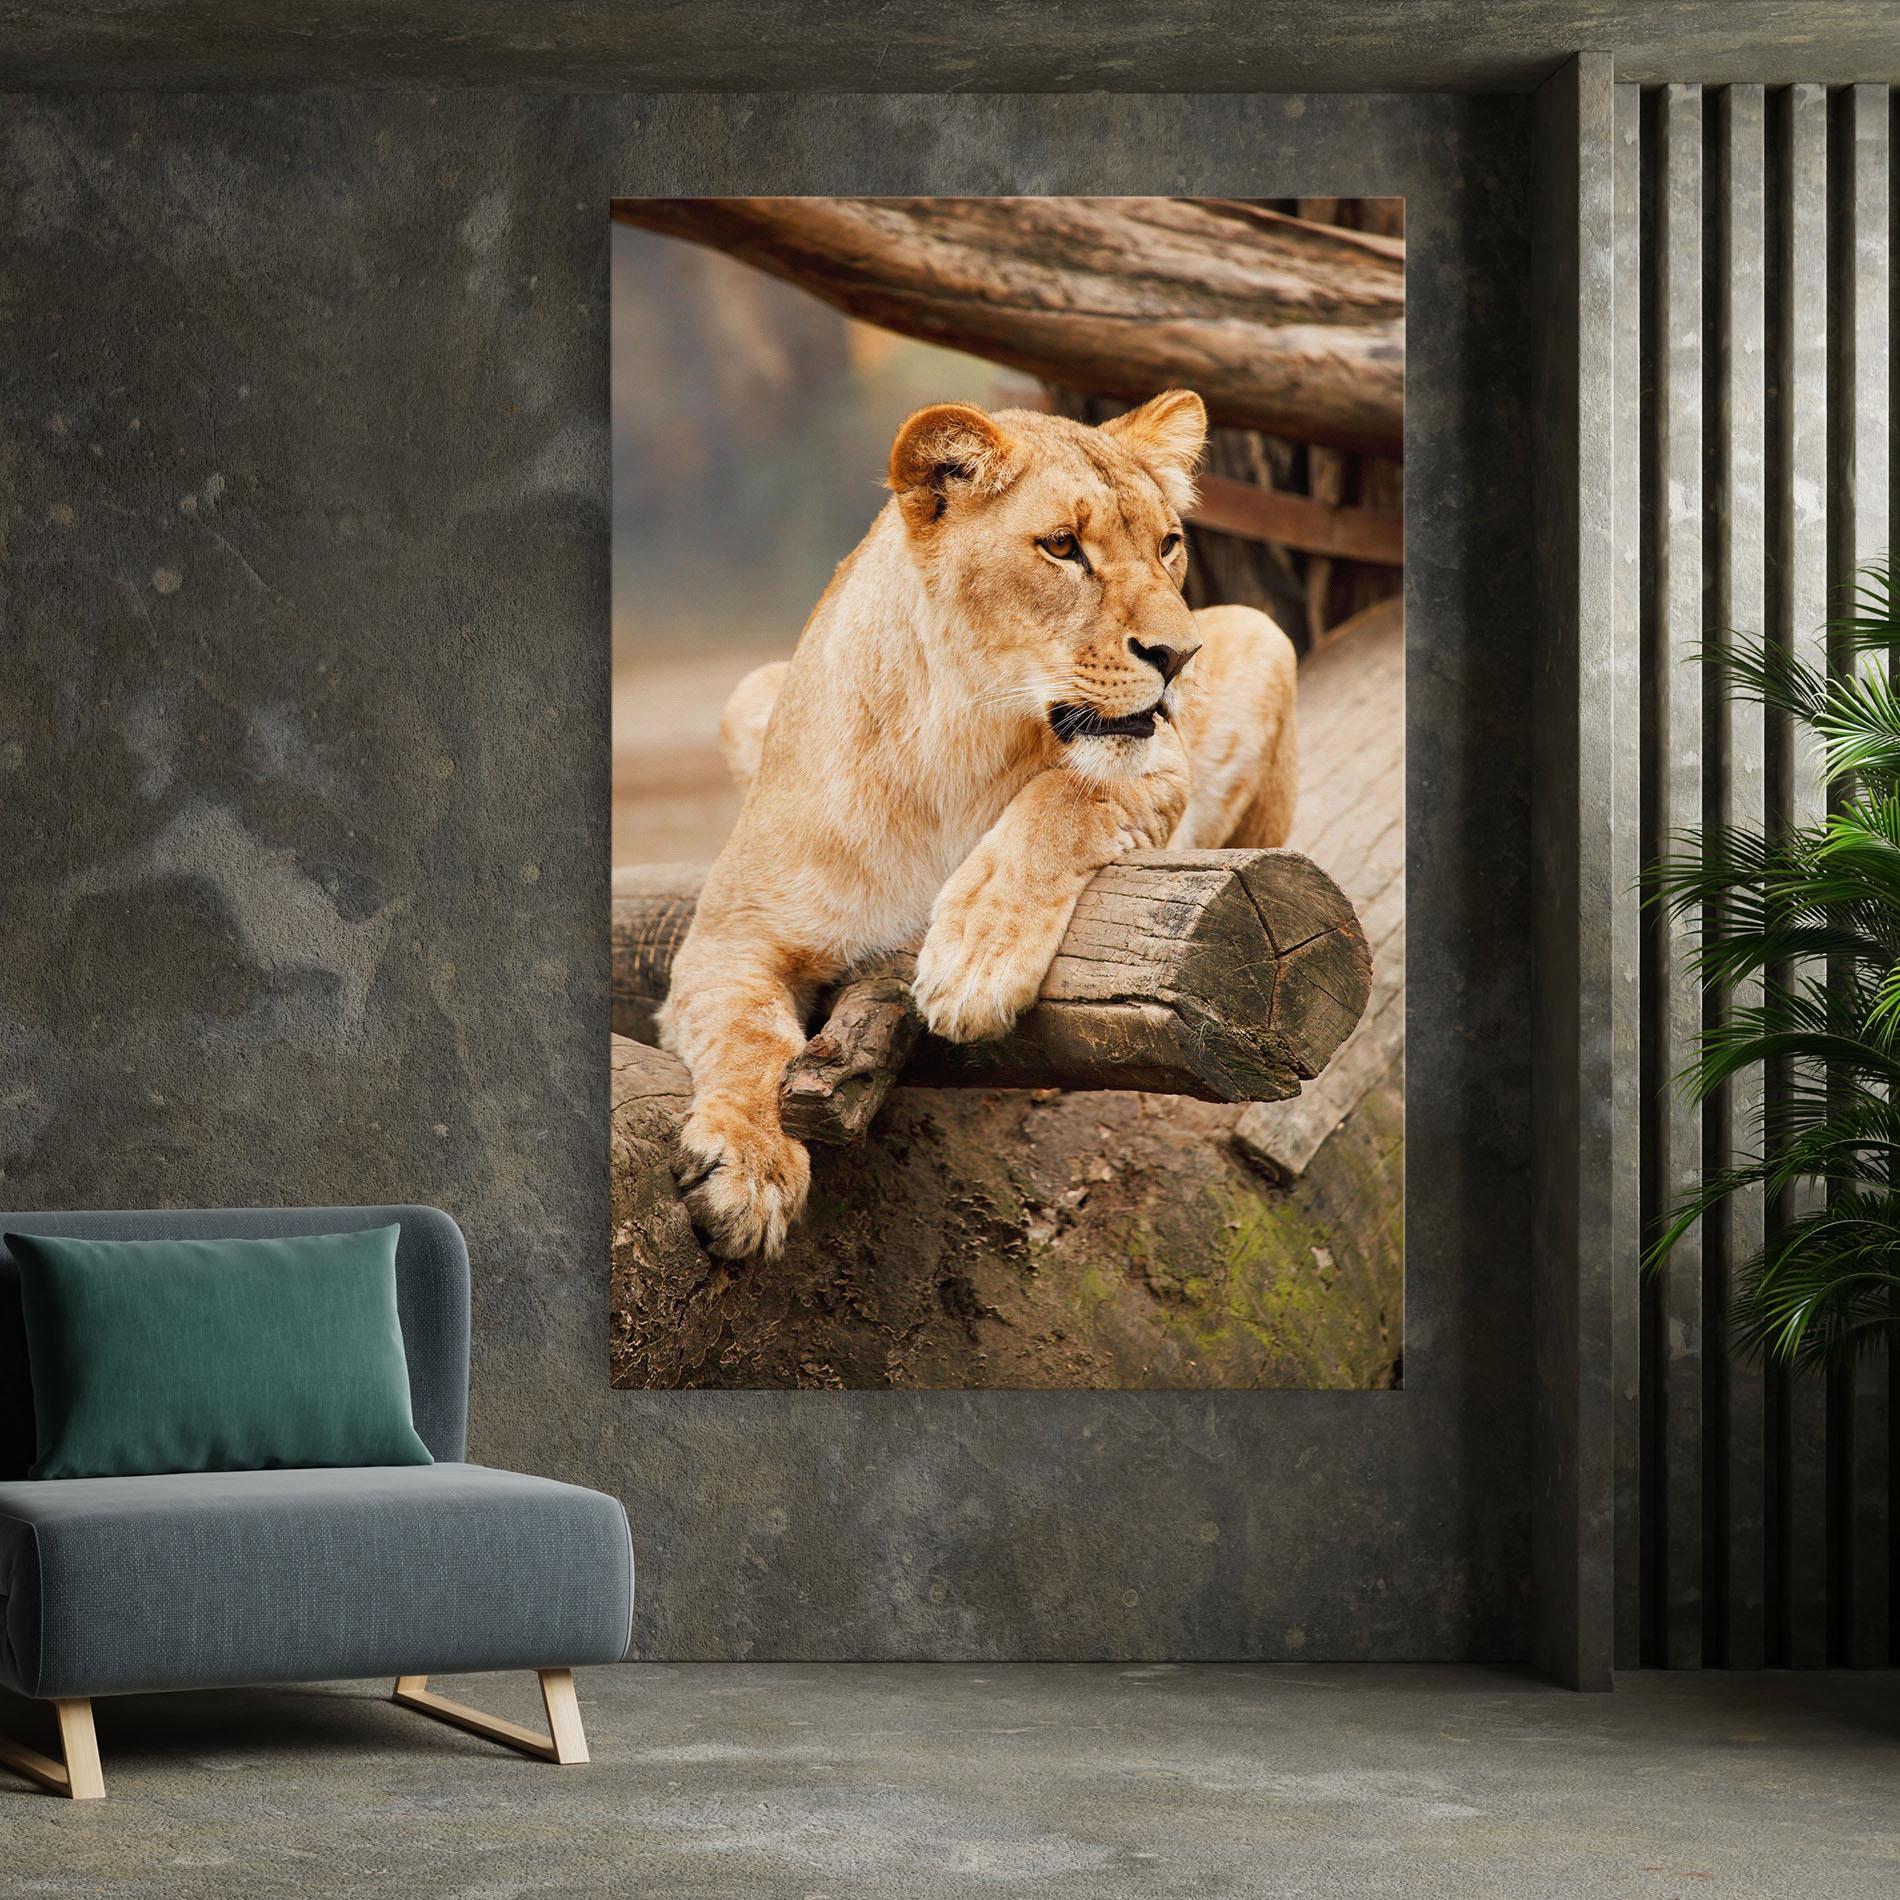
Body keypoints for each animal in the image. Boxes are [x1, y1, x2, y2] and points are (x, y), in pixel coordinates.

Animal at [658, 389, 1298, 1261]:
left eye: (1168, 545)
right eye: (1062, 546)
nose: (1180, 656)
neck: (955, 743)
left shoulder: (1161, 764)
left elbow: (1065, 798)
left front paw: (974, 964)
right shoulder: (730, 934)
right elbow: (746, 1034)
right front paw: (749, 1168)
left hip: (1266, 635)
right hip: (748, 692)